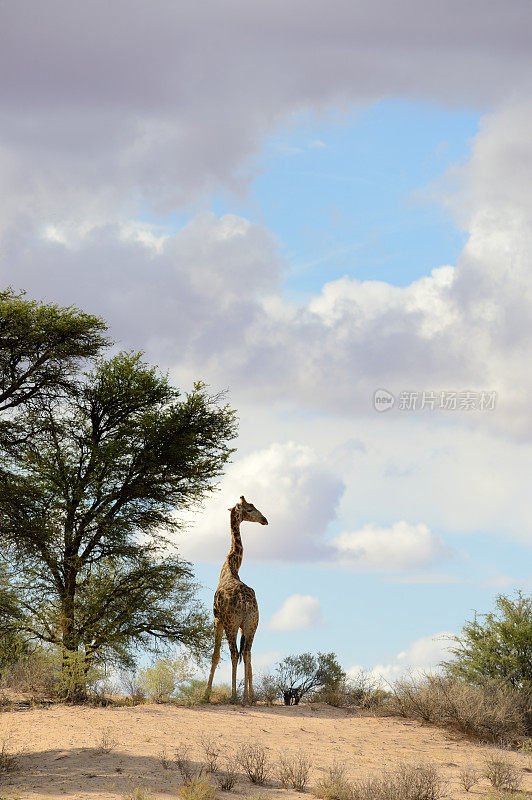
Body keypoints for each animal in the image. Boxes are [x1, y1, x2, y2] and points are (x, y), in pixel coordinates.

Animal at [205, 494, 268, 700]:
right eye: (249, 509)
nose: (265, 520)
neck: (230, 567)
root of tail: (246, 604)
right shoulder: (242, 625)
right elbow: (246, 657)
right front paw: (249, 694)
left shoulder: (217, 619)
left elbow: (215, 655)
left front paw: (206, 694)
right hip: (252, 624)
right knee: (247, 652)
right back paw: (248, 697)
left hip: (232, 624)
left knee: (234, 653)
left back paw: (233, 695)